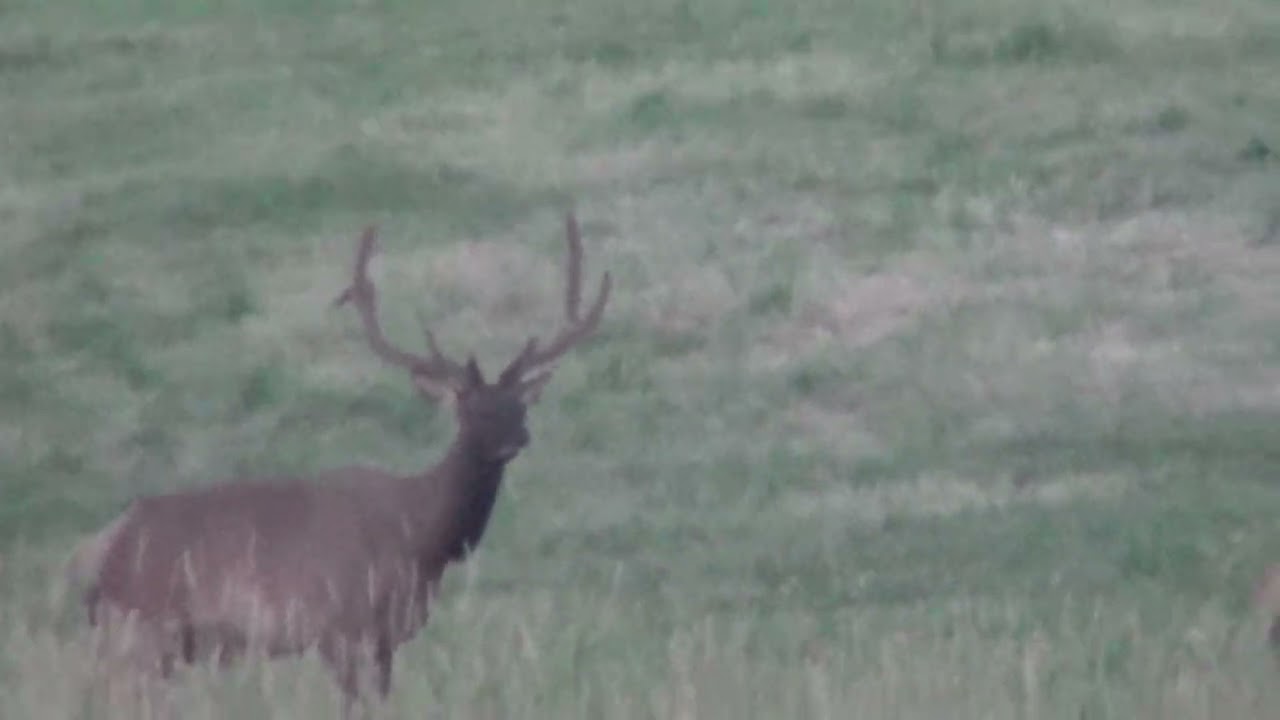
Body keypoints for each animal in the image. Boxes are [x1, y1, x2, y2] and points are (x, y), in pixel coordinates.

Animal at [64, 212, 611, 717]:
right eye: (469, 409)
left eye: (519, 406)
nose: (514, 439)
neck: (421, 538)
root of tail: (100, 551)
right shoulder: (339, 624)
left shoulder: (385, 639)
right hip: (140, 629)